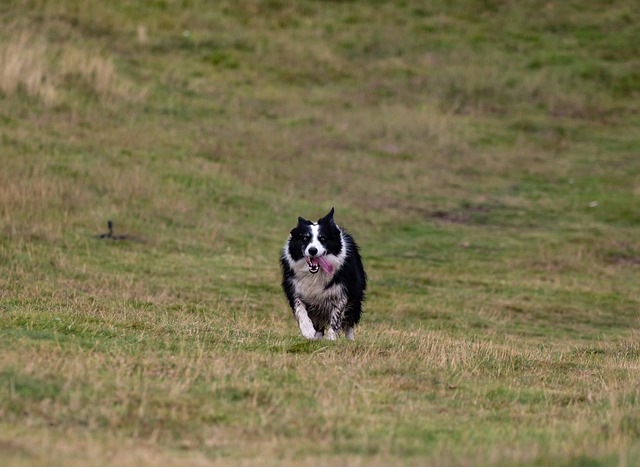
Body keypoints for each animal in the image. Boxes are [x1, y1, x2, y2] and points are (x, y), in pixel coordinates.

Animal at [278, 208, 364, 340]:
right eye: (305, 238)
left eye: (322, 238)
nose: (312, 250)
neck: (315, 274)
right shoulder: (295, 288)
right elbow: (300, 309)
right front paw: (308, 331)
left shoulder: (342, 293)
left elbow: (336, 317)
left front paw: (331, 338)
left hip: (355, 297)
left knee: (349, 322)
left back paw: (350, 340)